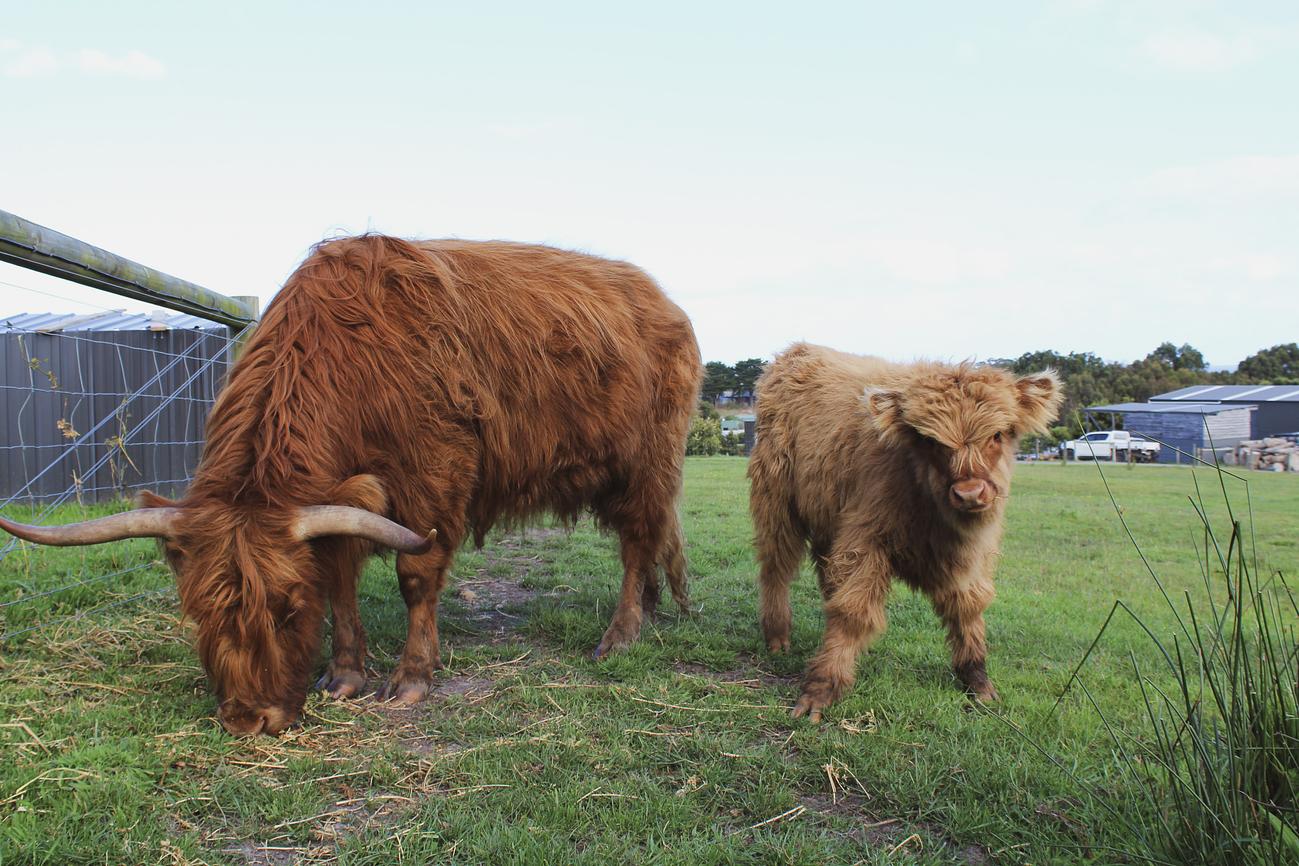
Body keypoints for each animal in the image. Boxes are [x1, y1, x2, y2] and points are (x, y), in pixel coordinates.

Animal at [0, 235, 702, 735]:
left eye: (286, 609)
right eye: (198, 610)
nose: (248, 720)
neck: (348, 355)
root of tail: (662, 300)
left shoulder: (434, 474)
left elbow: (416, 578)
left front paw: (412, 678)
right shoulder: (338, 498)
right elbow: (339, 582)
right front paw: (343, 675)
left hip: (646, 462)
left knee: (639, 541)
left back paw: (621, 634)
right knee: (653, 541)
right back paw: (657, 610)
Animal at [747, 343, 1061, 721]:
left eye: (998, 434)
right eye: (929, 440)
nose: (970, 493)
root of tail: (796, 351)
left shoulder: (975, 554)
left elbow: (968, 607)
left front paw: (978, 681)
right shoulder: (865, 538)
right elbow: (852, 611)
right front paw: (820, 689)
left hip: (828, 514)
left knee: (824, 571)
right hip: (776, 502)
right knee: (776, 566)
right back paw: (777, 636)